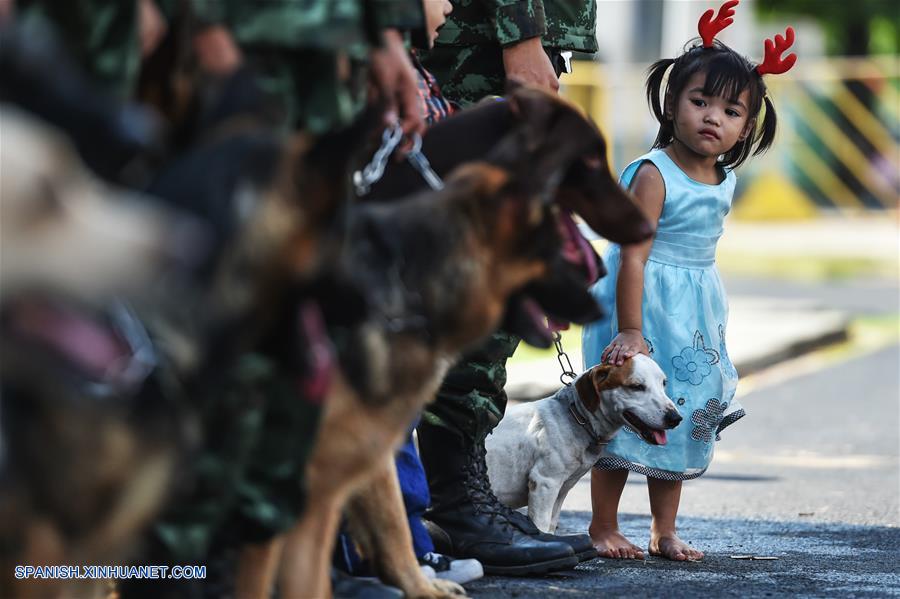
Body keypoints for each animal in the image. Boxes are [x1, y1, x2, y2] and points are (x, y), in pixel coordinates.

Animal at [488, 354, 680, 532]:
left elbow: (551, 525)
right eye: (636, 386)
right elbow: (541, 525)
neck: (575, 416)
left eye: (663, 383)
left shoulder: (561, 490)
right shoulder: (544, 483)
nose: (675, 418)